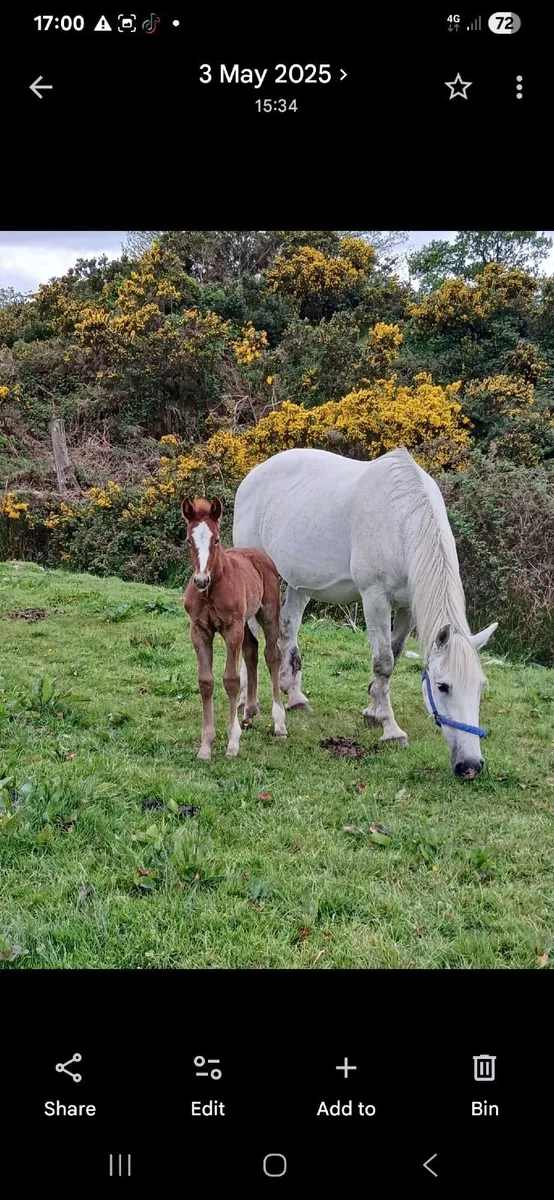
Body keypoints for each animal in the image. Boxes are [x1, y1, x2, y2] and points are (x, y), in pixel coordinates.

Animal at [182, 496, 287, 760]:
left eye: (216, 539)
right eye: (188, 540)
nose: (201, 580)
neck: (211, 591)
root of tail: (259, 553)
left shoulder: (232, 629)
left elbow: (231, 680)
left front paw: (232, 742)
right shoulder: (199, 630)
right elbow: (205, 682)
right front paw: (206, 746)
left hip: (266, 615)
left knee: (272, 655)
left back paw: (280, 722)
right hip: (246, 621)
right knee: (251, 650)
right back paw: (249, 712)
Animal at [232, 447, 498, 779]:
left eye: (481, 687)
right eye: (443, 686)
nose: (471, 765)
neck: (401, 519)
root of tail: (254, 475)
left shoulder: (407, 606)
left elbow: (394, 655)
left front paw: (372, 711)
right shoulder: (375, 598)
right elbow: (383, 661)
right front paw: (390, 728)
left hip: (298, 583)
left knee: (287, 630)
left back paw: (295, 698)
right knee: (250, 637)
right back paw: (246, 700)